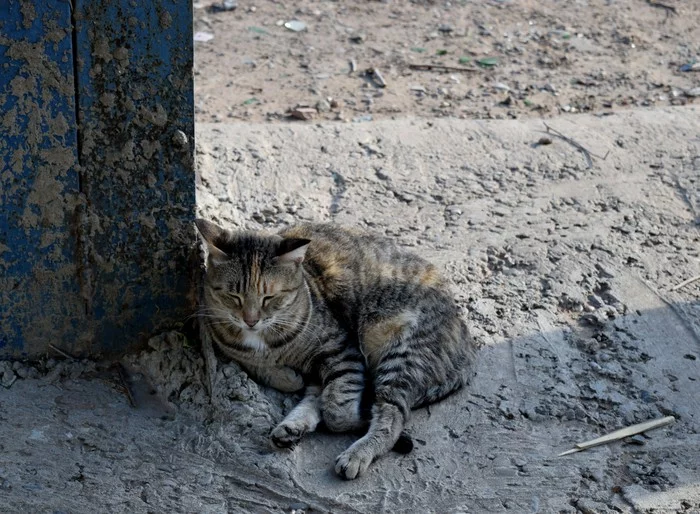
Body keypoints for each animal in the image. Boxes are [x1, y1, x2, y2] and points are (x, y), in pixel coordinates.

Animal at [194, 218, 476, 478]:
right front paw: (286, 376)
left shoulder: (342, 348)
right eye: (234, 296)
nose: (250, 320)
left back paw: (358, 452)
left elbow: (338, 410)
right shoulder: (221, 335)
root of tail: (465, 339)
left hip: (402, 355)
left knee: (390, 415)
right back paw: (292, 426)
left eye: (269, 297)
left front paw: (354, 419)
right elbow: (255, 363)